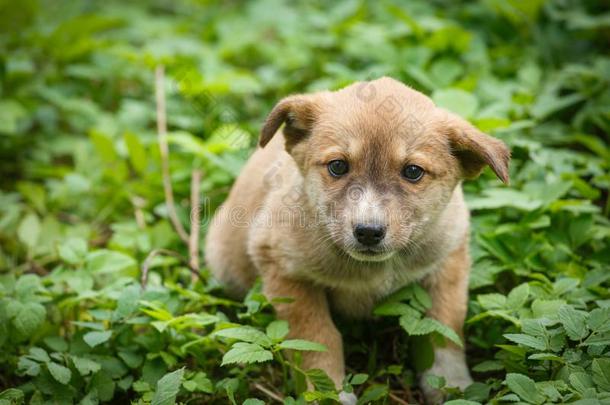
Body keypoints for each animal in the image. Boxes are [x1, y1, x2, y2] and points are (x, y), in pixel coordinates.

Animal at [204, 77, 508, 402]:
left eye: (413, 171)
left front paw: (452, 386)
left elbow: (443, 330)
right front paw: (329, 395)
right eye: (338, 166)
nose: (368, 232)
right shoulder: (284, 271)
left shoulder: (448, 261)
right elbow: (318, 338)